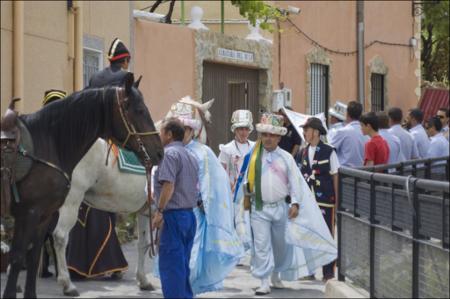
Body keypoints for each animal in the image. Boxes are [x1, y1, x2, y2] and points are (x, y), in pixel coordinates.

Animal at [51, 96, 214, 298]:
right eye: (209, 120)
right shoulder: (155, 211)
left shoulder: (145, 212)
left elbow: (143, 244)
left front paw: (143, 280)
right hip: (71, 202)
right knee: (60, 237)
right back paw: (67, 284)